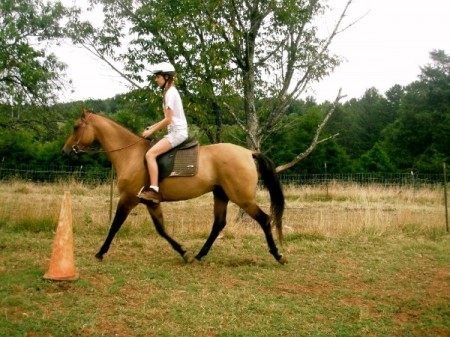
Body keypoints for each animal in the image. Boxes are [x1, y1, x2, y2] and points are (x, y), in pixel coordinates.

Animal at [62, 109, 286, 264]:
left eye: (75, 127)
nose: (65, 151)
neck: (130, 155)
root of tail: (248, 152)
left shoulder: (128, 199)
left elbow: (115, 225)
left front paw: (100, 252)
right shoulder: (150, 202)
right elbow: (161, 229)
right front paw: (183, 252)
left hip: (243, 199)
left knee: (264, 219)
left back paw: (278, 255)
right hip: (221, 194)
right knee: (219, 224)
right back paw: (199, 255)